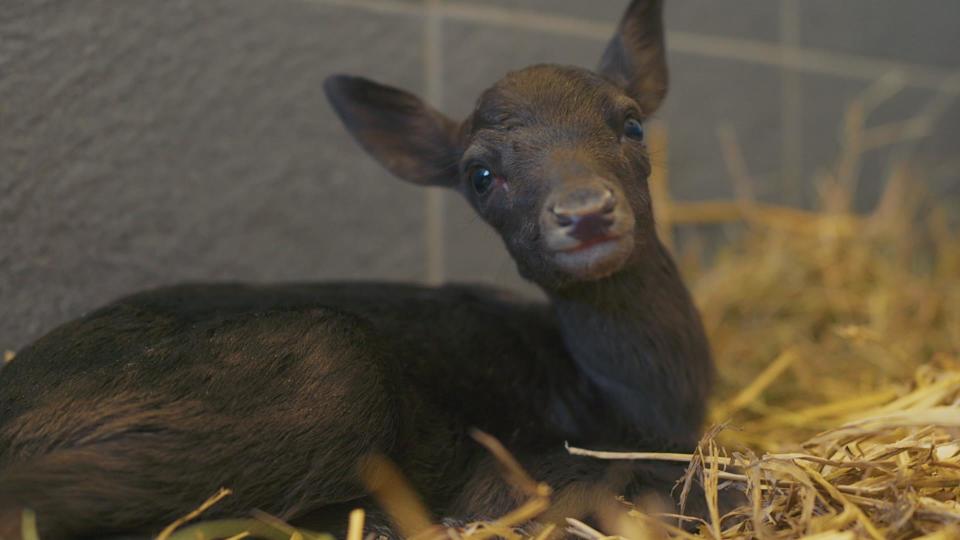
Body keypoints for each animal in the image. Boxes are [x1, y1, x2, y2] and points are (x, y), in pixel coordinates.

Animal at [0, 2, 712, 536]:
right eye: (480, 175)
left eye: (632, 124)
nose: (585, 212)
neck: (633, 410)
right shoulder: (523, 470)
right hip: (328, 371)